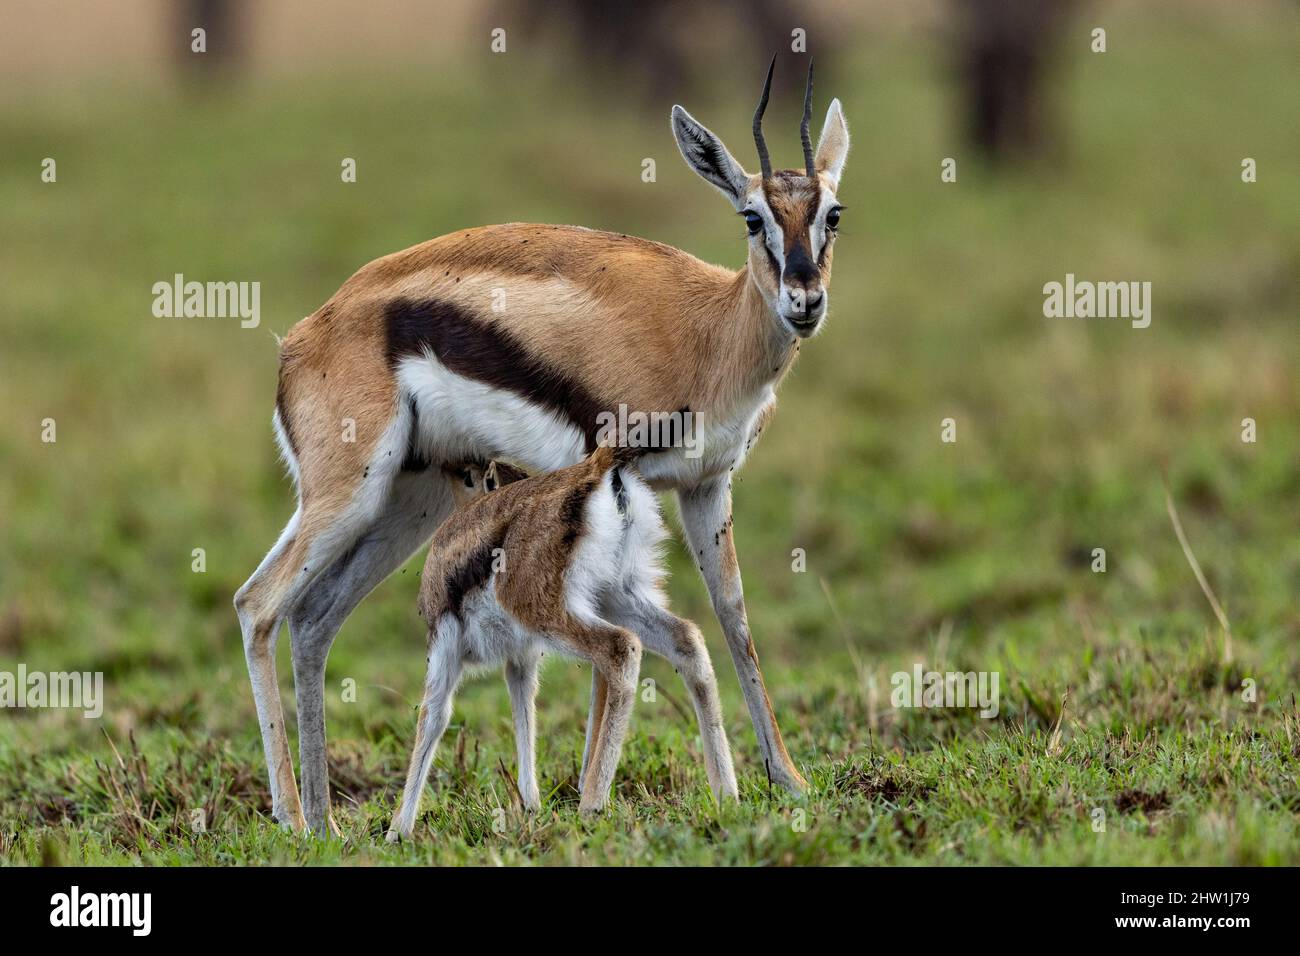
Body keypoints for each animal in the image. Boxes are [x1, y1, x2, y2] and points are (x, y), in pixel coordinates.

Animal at [386, 446, 738, 840]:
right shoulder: (521, 656)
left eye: (467, 475)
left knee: (621, 647)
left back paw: (592, 804)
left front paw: (397, 832)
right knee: (687, 640)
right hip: (617, 599)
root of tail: (598, 467)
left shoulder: (443, 643)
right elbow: (523, 707)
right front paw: (530, 807)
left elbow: (433, 716)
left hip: (555, 614)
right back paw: (727, 794)